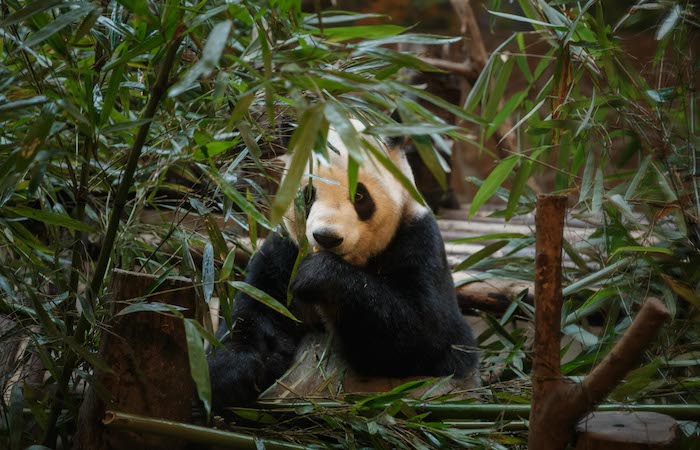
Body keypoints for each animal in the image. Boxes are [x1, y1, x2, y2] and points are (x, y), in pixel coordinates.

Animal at [206, 119, 476, 408]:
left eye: (360, 196)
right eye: (308, 194)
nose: (327, 237)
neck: (350, 262)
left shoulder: (418, 241)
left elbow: (429, 335)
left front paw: (318, 276)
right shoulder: (284, 252)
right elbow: (258, 313)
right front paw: (226, 377)